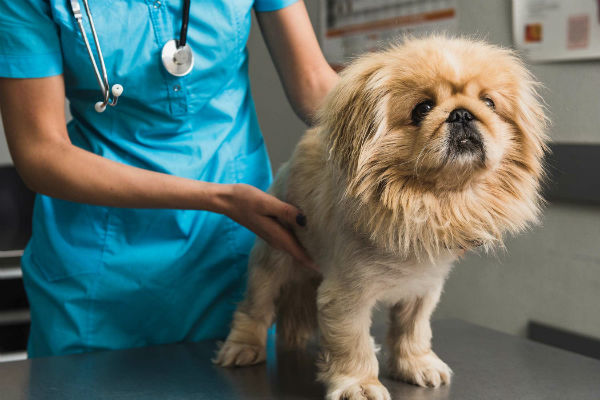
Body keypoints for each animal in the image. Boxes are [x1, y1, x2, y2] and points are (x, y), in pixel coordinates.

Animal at [216, 36, 548, 400]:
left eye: (488, 102)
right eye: (422, 109)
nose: (461, 113)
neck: (426, 200)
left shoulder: (423, 288)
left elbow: (412, 331)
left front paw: (417, 365)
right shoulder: (345, 297)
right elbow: (352, 344)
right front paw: (359, 384)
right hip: (271, 261)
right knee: (254, 309)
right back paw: (243, 347)